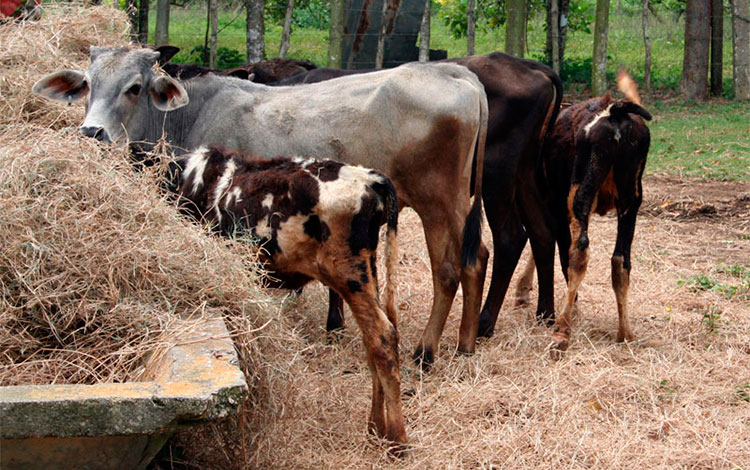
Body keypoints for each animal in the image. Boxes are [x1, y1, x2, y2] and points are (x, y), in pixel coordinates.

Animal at [33, 47, 494, 370]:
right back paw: (466, 345)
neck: (193, 114)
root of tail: (457, 72)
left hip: (437, 203)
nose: (91, 132)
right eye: (87, 84)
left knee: (450, 269)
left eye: (133, 87)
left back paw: (427, 351)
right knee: (477, 258)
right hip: (457, 206)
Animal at [170, 147, 408, 452]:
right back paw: (376, 429)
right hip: (368, 273)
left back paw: (398, 441)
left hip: (350, 274)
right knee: (373, 342)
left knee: (383, 336)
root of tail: (371, 178)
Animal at [512, 78, 652, 356]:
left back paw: (562, 332)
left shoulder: (554, 205)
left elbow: (554, 247)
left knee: (578, 254)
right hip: (631, 199)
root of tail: (615, 111)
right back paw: (625, 333)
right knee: (620, 261)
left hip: (580, 193)